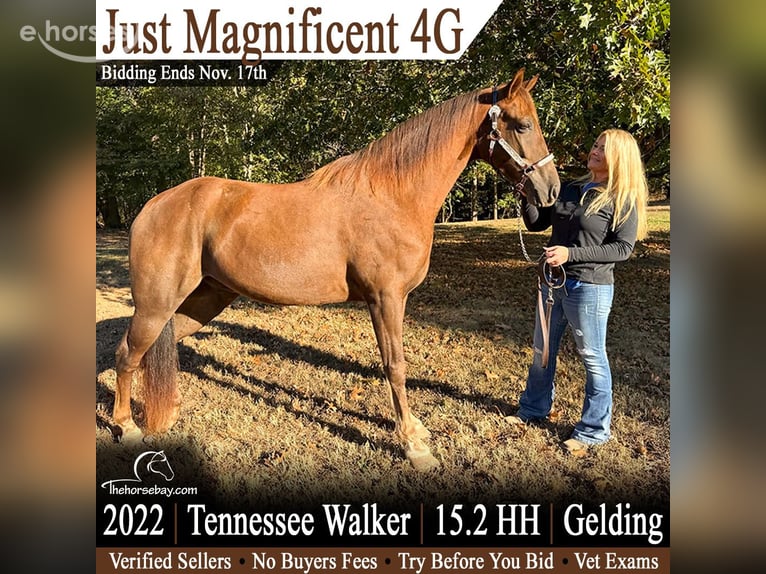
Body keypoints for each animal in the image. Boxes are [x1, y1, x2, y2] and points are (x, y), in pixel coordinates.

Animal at [112, 68, 560, 471]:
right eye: (523, 125)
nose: (552, 190)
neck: (393, 196)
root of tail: (154, 205)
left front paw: (414, 429)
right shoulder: (385, 299)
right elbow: (395, 366)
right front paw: (414, 446)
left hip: (203, 299)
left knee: (157, 349)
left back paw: (165, 411)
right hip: (156, 305)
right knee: (127, 354)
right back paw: (126, 426)